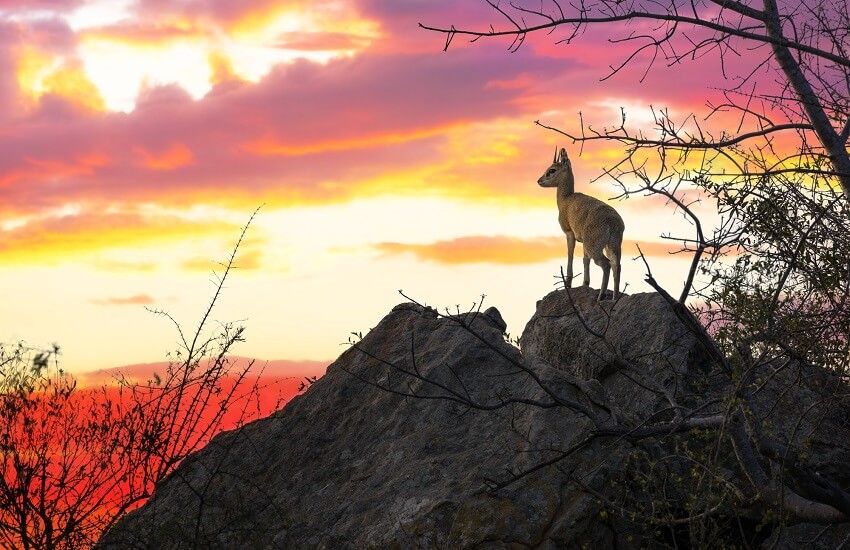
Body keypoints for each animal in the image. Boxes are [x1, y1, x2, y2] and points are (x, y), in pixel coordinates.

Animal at [536, 149, 624, 302]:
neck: (566, 199)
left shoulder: (569, 233)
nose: (539, 180)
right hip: (612, 245)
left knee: (606, 264)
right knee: (616, 265)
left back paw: (601, 296)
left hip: (594, 246)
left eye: (552, 170)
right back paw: (614, 298)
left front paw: (568, 283)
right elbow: (585, 260)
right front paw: (585, 283)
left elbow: (570, 255)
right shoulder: (583, 241)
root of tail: (612, 222)